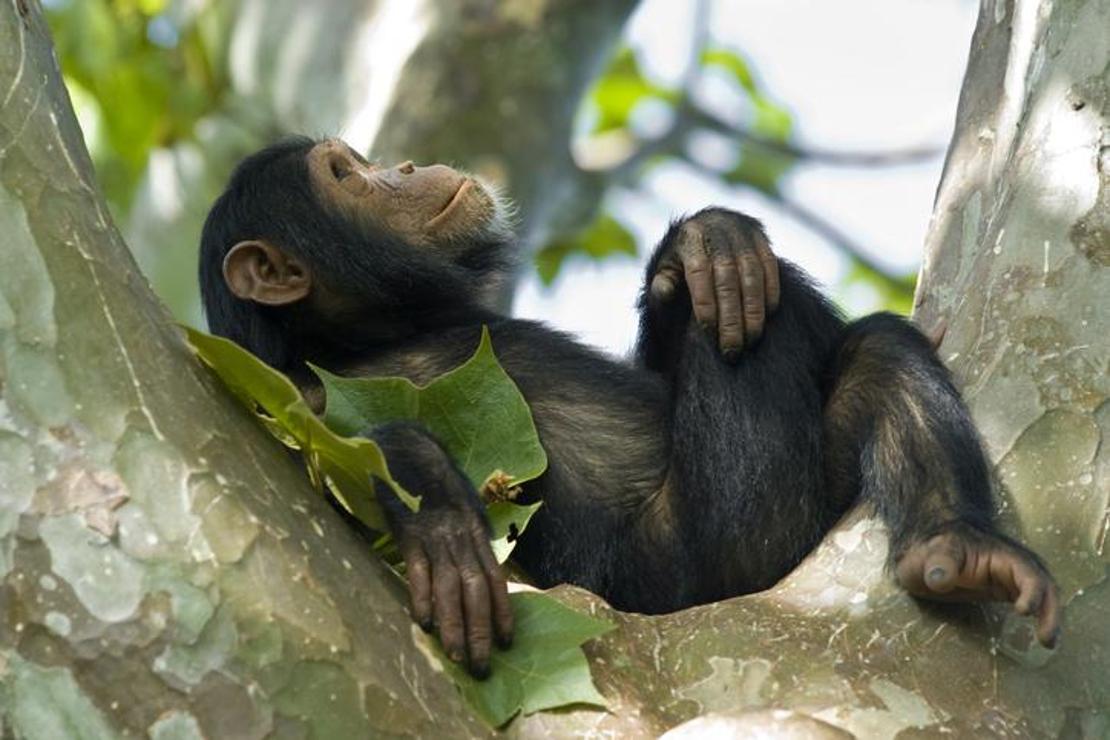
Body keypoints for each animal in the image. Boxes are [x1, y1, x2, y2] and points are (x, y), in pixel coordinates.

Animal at [197, 135, 1056, 678]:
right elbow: (331, 452)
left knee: (872, 352)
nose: (399, 165)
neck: (375, 332)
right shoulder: (291, 394)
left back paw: (958, 546)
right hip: (723, 544)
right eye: (345, 174)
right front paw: (439, 520)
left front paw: (708, 244)